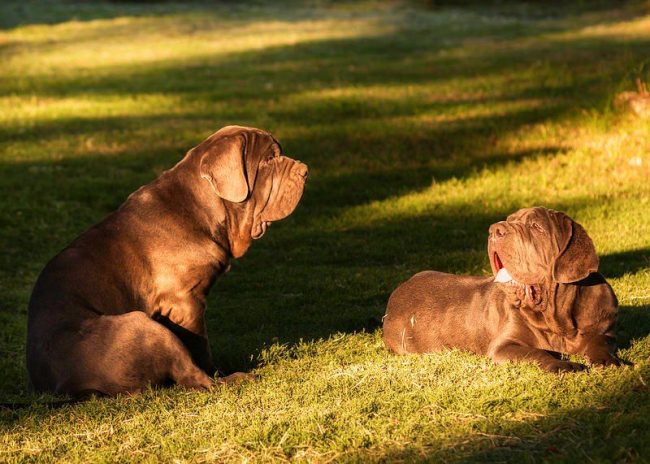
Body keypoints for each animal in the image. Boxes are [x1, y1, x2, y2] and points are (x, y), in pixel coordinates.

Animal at [26, 126, 308, 396]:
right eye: (269, 159)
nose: (305, 170)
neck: (203, 207)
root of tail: (67, 386)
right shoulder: (186, 301)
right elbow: (200, 348)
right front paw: (216, 370)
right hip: (145, 326)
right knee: (193, 376)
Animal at [382, 208, 620, 374]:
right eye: (510, 219)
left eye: (536, 226)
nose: (495, 230)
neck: (557, 318)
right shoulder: (504, 345)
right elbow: (535, 352)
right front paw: (564, 365)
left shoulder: (605, 329)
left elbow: (600, 341)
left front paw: (606, 360)